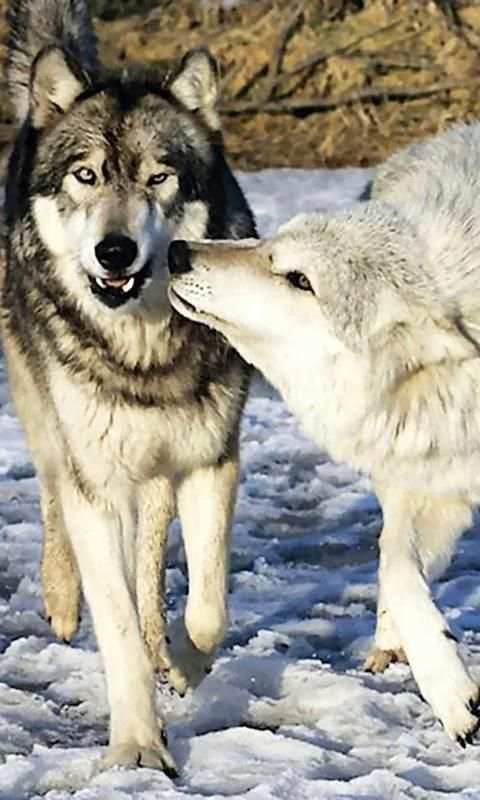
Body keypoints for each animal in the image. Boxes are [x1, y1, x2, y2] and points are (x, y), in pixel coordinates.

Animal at [1, 0, 256, 772]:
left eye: (157, 178)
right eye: (85, 176)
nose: (113, 252)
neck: (142, 353)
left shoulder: (210, 461)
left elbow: (207, 610)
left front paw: (179, 657)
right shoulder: (100, 485)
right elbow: (114, 628)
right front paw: (139, 745)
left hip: (159, 471)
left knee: (152, 555)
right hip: (49, 418)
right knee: (53, 488)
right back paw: (61, 598)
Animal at [168, 120, 480, 747]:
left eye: (299, 279)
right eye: (269, 243)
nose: (178, 250)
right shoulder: (432, 478)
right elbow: (397, 568)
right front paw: (450, 689)